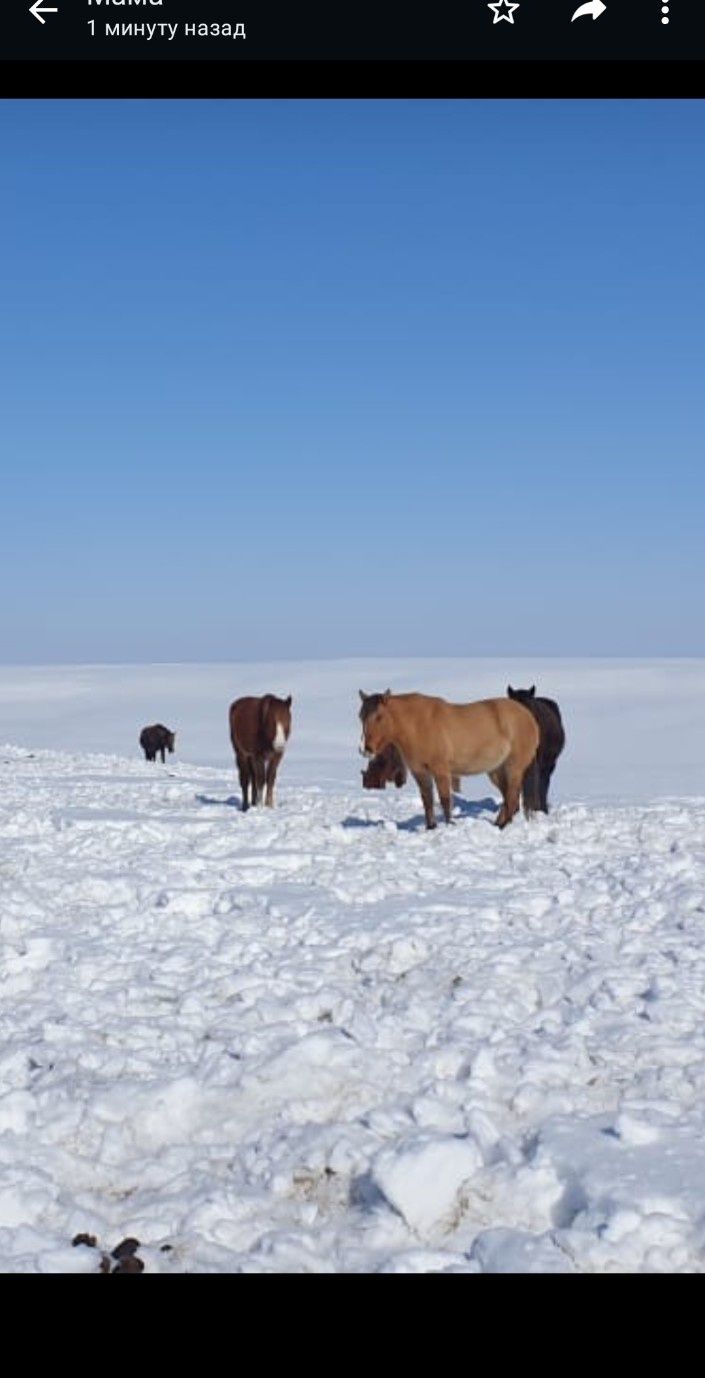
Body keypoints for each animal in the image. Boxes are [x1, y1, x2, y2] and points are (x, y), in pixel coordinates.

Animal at [360, 689, 542, 826]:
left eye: (379, 716)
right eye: (360, 716)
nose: (365, 749)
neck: (418, 724)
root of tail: (528, 717)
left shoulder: (441, 771)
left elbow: (445, 800)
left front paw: (449, 825)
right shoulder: (420, 773)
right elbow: (427, 801)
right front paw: (431, 827)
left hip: (513, 768)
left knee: (512, 799)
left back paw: (502, 827)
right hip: (496, 771)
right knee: (508, 799)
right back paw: (498, 824)